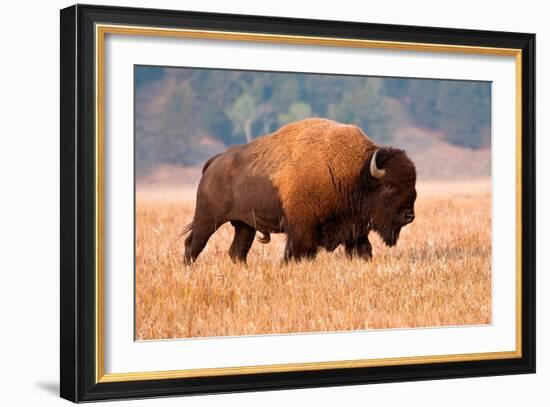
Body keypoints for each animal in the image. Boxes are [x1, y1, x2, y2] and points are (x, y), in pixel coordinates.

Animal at [182, 118, 418, 264]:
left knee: (237, 252)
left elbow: (363, 250)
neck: (355, 173)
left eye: (412, 185)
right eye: (389, 186)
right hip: (208, 219)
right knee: (193, 244)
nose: (409, 216)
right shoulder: (302, 230)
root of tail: (213, 163)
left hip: (244, 225)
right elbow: (297, 253)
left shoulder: (355, 230)